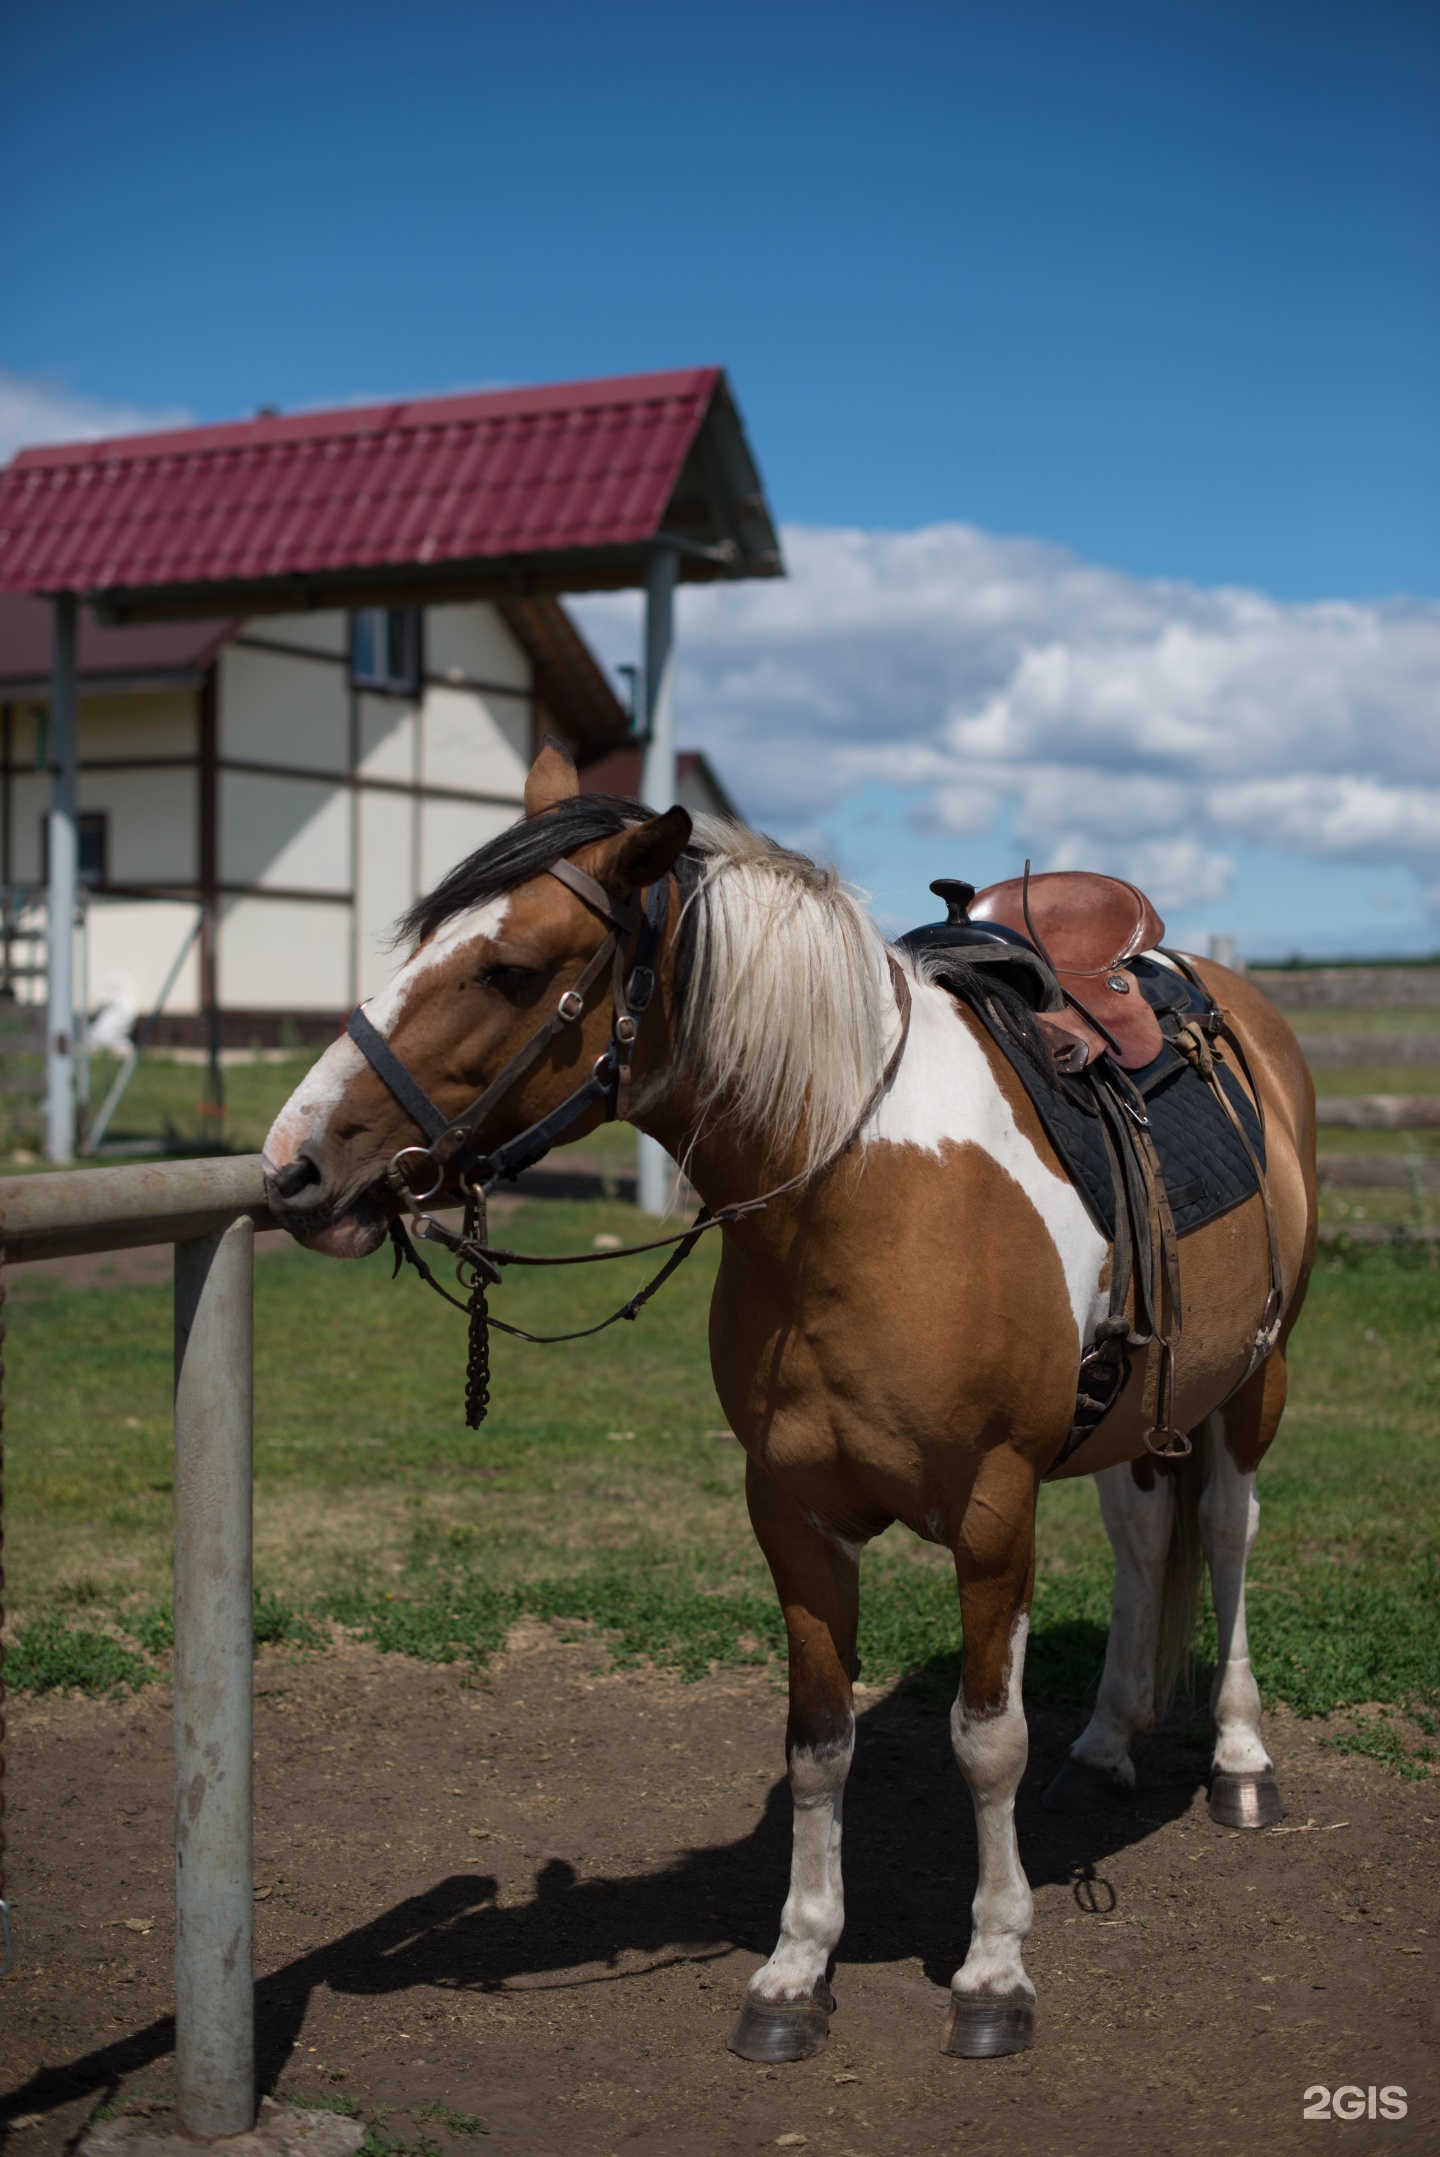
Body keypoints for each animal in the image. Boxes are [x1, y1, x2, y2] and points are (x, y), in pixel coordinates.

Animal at [258, 746, 1319, 2070]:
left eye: (511, 969)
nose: (293, 1165)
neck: (855, 1192)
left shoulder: (994, 1514)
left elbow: (987, 1741)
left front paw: (993, 1969)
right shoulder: (792, 1516)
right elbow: (818, 1744)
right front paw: (796, 1968)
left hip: (1254, 1379)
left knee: (1225, 1533)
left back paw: (1239, 1760)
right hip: (1137, 1411)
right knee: (1142, 1540)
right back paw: (1109, 1743)